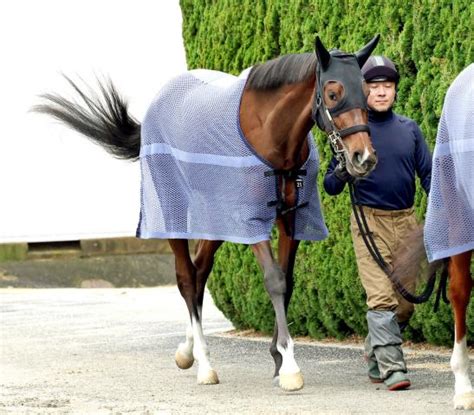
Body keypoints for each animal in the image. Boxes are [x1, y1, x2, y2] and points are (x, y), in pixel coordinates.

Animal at [33, 34, 380, 392]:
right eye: (333, 93)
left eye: (366, 92)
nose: (363, 158)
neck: (269, 134)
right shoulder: (248, 221)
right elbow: (274, 280)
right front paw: (289, 366)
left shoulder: (291, 219)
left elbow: (288, 281)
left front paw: (277, 358)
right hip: (173, 218)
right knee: (187, 278)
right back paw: (204, 364)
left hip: (214, 219)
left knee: (200, 272)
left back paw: (187, 352)